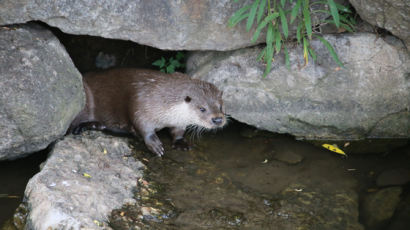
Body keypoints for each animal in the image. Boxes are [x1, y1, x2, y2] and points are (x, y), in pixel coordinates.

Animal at [68, 67, 226, 155]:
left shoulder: (178, 120)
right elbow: (142, 124)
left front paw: (181, 142)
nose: (218, 119)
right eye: (202, 108)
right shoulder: (142, 103)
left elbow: (178, 130)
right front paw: (155, 144)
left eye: (220, 106)